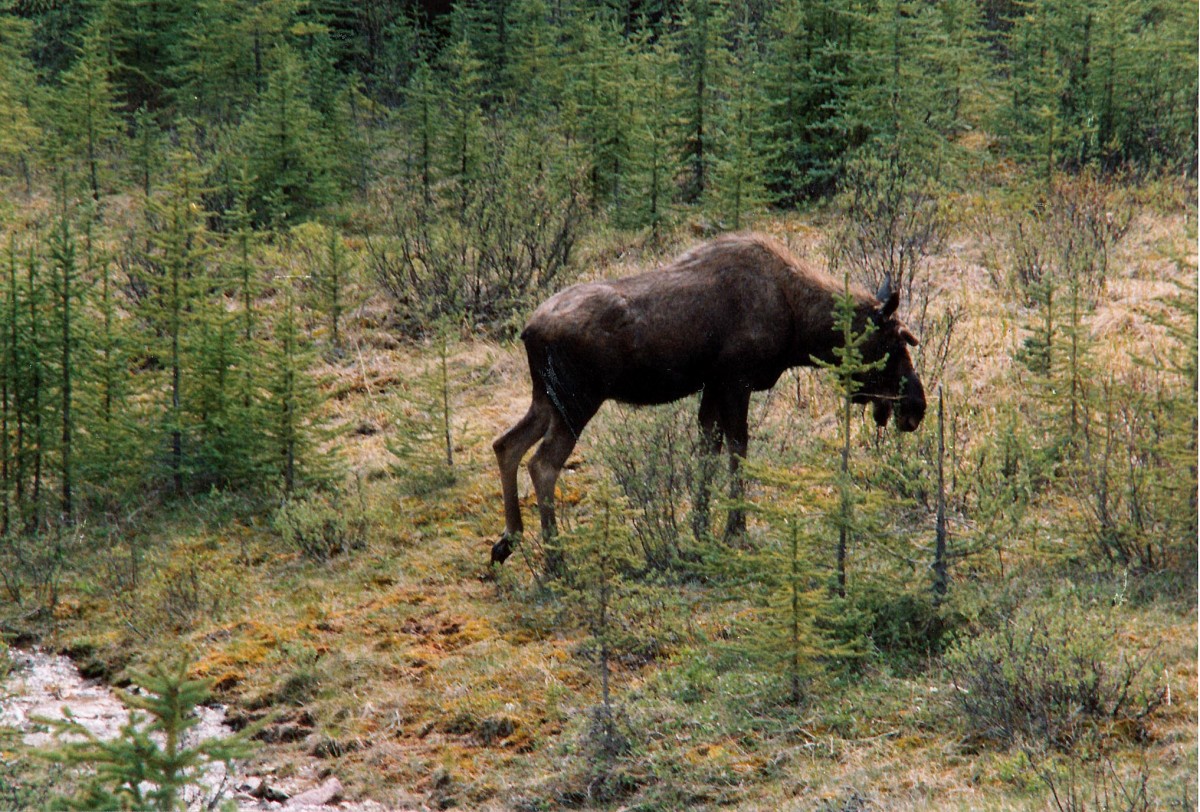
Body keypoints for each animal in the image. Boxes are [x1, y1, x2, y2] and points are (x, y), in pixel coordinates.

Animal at [492, 231, 921, 566]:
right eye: (897, 341)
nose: (917, 406)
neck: (799, 328)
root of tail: (528, 331)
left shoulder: (713, 386)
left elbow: (707, 451)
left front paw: (700, 530)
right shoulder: (735, 381)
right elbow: (737, 451)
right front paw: (735, 529)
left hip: (547, 399)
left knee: (506, 445)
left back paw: (509, 540)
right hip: (577, 401)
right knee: (542, 464)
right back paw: (555, 557)